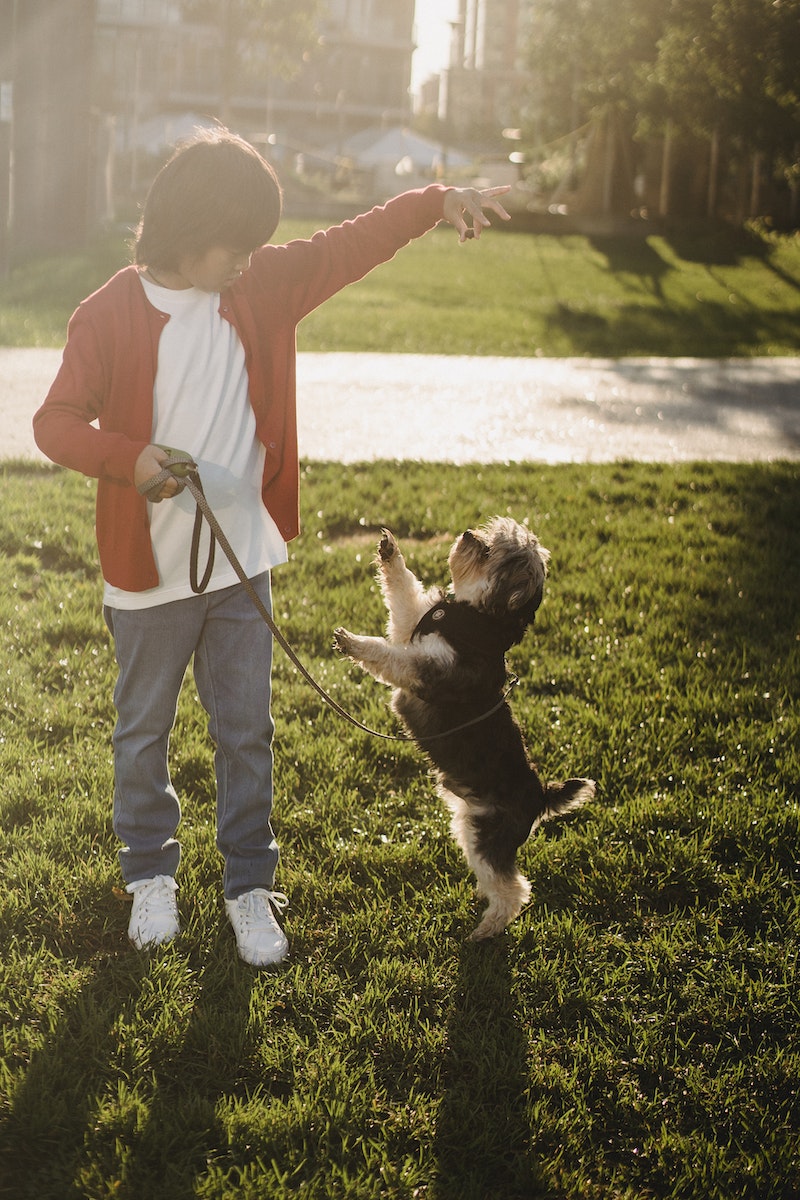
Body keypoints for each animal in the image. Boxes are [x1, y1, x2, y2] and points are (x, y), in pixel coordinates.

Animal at [333, 520, 594, 940]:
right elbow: (403, 593)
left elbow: (387, 655)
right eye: (490, 535)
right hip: (469, 825)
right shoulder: (411, 627)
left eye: (490, 552)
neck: (475, 618)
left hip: (488, 840)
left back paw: (485, 930)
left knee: (515, 890)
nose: (470, 534)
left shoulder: (424, 668)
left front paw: (353, 642)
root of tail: (540, 796)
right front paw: (390, 552)